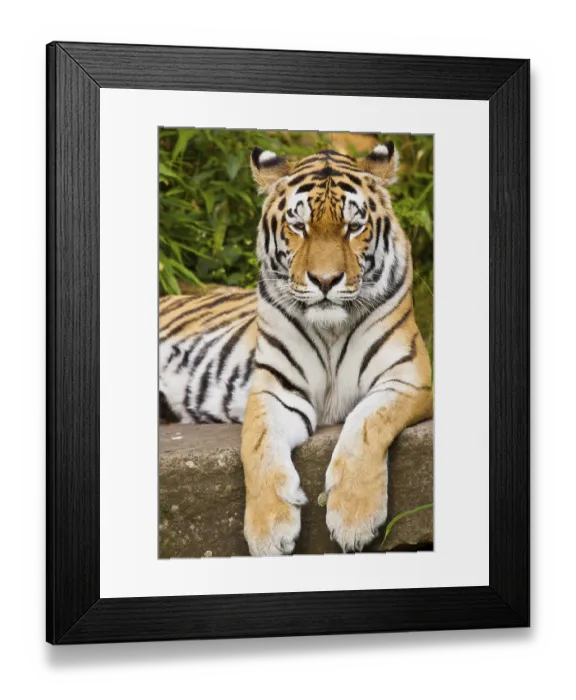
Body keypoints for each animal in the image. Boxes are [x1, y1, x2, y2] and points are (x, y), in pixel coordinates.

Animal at [159, 144, 433, 556]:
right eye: (299, 226)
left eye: (353, 227)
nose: (325, 280)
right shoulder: (276, 388)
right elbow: (258, 447)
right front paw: (269, 530)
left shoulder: (407, 376)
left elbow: (367, 423)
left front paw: (354, 517)